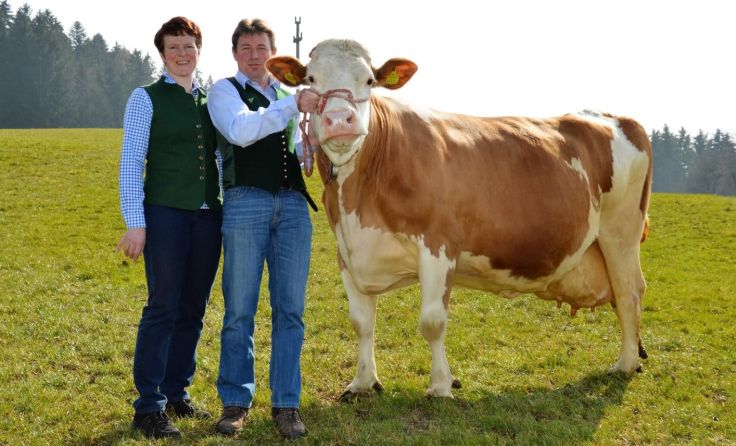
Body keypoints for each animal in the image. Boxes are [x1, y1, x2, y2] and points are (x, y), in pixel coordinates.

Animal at [266, 39, 653, 400]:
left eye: (370, 80)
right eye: (311, 79)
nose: (339, 120)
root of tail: (617, 118)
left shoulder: (439, 246)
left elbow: (432, 322)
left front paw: (441, 386)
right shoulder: (347, 252)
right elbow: (361, 322)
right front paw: (362, 382)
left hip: (620, 233)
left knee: (629, 293)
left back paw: (625, 363)